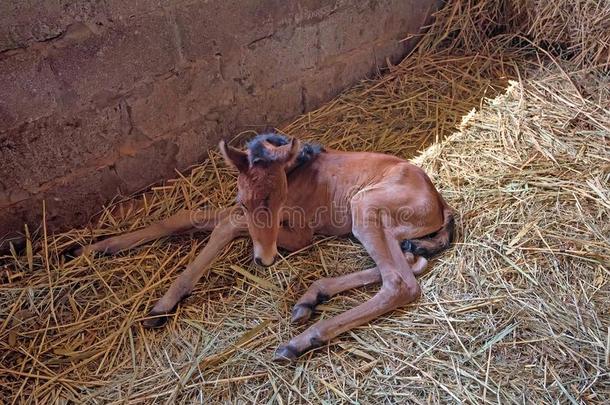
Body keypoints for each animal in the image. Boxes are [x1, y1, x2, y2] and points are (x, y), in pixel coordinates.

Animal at [78, 133, 452, 362]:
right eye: (244, 199)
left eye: (278, 197)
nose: (265, 260)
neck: (297, 170)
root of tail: (439, 201)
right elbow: (187, 217)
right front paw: (97, 247)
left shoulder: (301, 235)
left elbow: (228, 225)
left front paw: (165, 304)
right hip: (383, 227)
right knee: (413, 259)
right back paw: (310, 298)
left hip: (366, 207)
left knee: (401, 282)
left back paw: (302, 340)